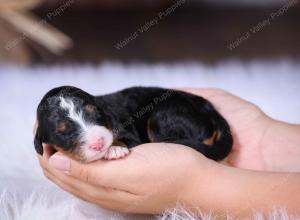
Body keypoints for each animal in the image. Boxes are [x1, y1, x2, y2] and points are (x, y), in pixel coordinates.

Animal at [34, 87, 233, 162]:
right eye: (62, 132)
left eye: (95, 113)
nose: (98, 142)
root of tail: (209, 109)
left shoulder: (128, 132)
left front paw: (114, 149)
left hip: (162, 116)